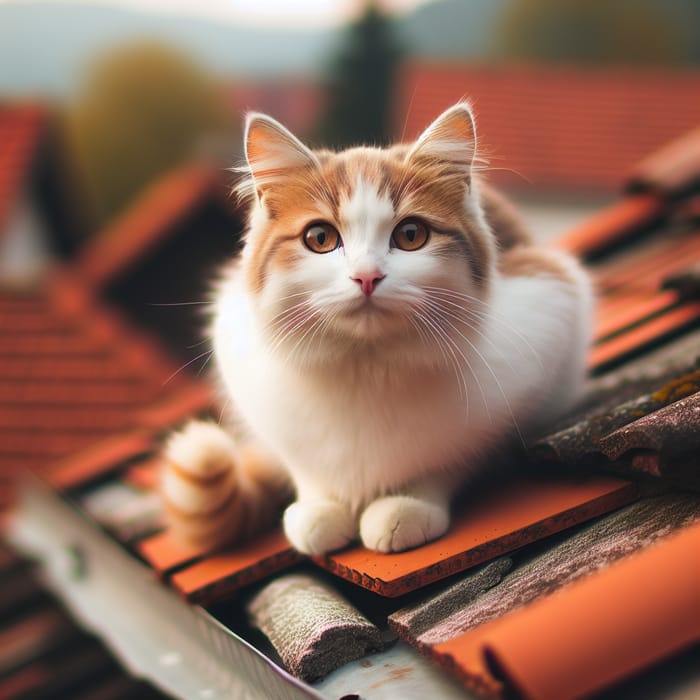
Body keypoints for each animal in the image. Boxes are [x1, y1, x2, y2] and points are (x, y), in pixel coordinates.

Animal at [161, 101, 592, 556]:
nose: (367, 276)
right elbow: (304, 467)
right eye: (319, 238)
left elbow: (453, 456)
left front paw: (408, 502)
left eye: (411, 235)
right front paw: (320, 507)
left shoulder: (546, 315)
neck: (364, 366)